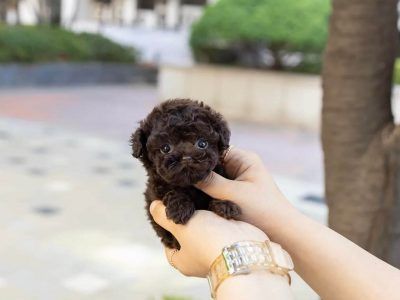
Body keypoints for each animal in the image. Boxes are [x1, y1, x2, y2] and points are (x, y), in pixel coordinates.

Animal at [130, 98, 241, 248]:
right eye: (165, 148)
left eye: (202, 143)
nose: (186, 157)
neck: (190, 186)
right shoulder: (155, 192)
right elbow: (172, 191)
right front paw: (179, 206)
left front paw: (225, 205)